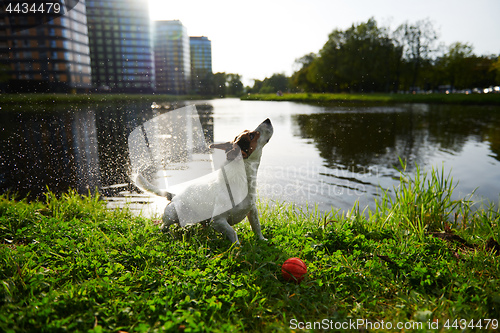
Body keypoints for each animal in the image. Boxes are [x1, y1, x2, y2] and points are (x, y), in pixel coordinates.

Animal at [137, 118, 274, 243]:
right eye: (251, 135)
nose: (267, 119)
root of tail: (174, 195)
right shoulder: (218, 221)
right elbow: (233, 232)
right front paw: (237, 247)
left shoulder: (252, 210)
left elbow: (257, 226)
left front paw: (262, 240)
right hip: (171, 215)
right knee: (163, 227)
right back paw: (170, 235)